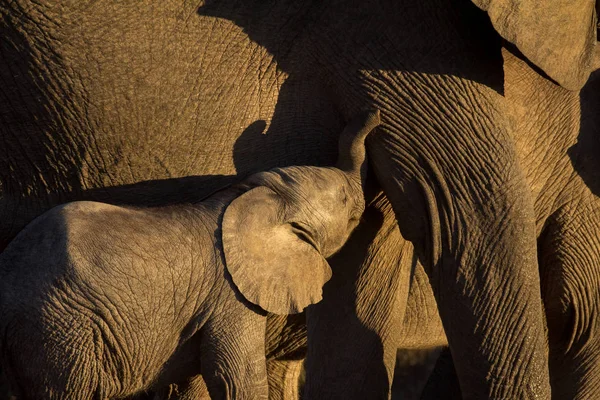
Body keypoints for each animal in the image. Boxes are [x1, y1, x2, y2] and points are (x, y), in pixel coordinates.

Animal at [0, 111, 380, 398]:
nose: (371, 115)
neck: (252, 197)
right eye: (344, 199)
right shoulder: (231, 296)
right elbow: (234, 378)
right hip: (62, 331)